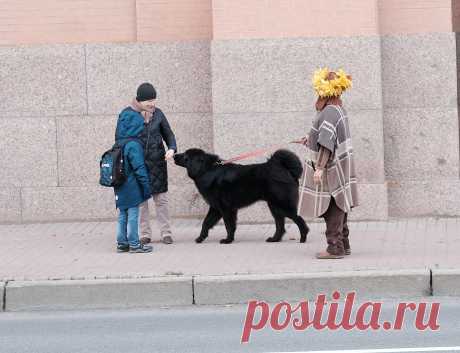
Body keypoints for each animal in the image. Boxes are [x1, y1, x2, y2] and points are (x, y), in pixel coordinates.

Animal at [174, 147, 310, 243]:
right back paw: (274, 239)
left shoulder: (224, 208)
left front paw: (227, 240)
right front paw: (201, 238)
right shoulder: (217, 208)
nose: (174, 155)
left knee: (298, 219)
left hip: (282, 204)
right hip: (274, 207)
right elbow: (207, 223)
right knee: (280, 225)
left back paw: (303, 238)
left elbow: (228, 225)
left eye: (185, 156)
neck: (207, 170)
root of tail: (283, 168)